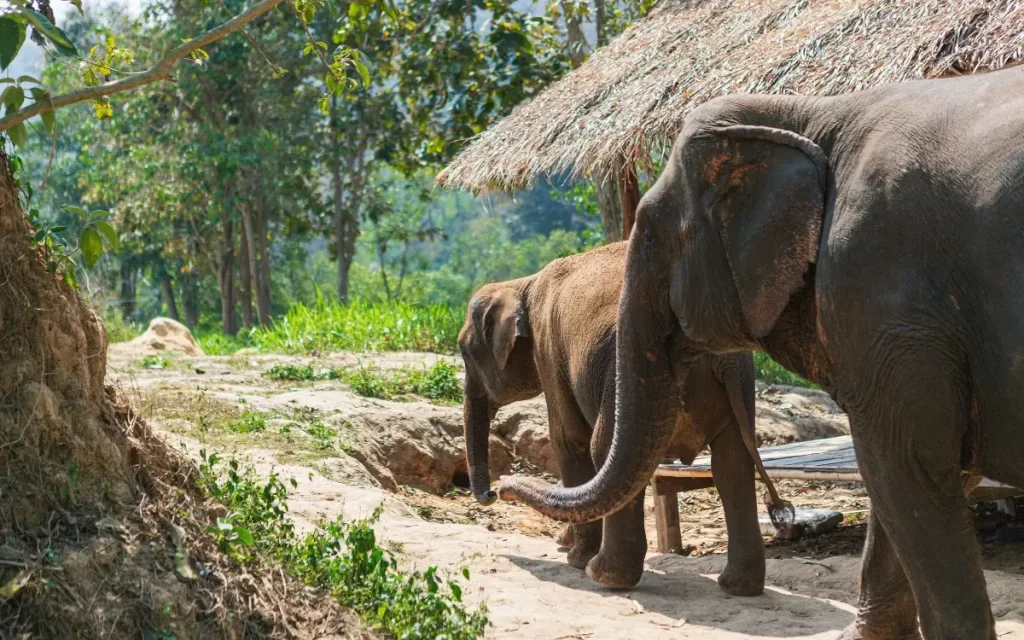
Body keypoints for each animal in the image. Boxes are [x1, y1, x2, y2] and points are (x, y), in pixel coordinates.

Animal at [458, 242, 791, 592]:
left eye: (464, 351)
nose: (494, 492)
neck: (523, 284)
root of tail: (720, 357)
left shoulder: (549, 353)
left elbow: (569, 442)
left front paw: (573, 557)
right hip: (737, 383)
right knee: (731, 461)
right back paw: (737, 586)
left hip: (629, 371)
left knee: (606, 450)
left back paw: (603, 574)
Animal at [497, 66, 1024, 639]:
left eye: (652, 236)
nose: (499, 487)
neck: (811, 112)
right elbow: (916, 474)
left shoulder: (883, 292)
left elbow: (908, 467)